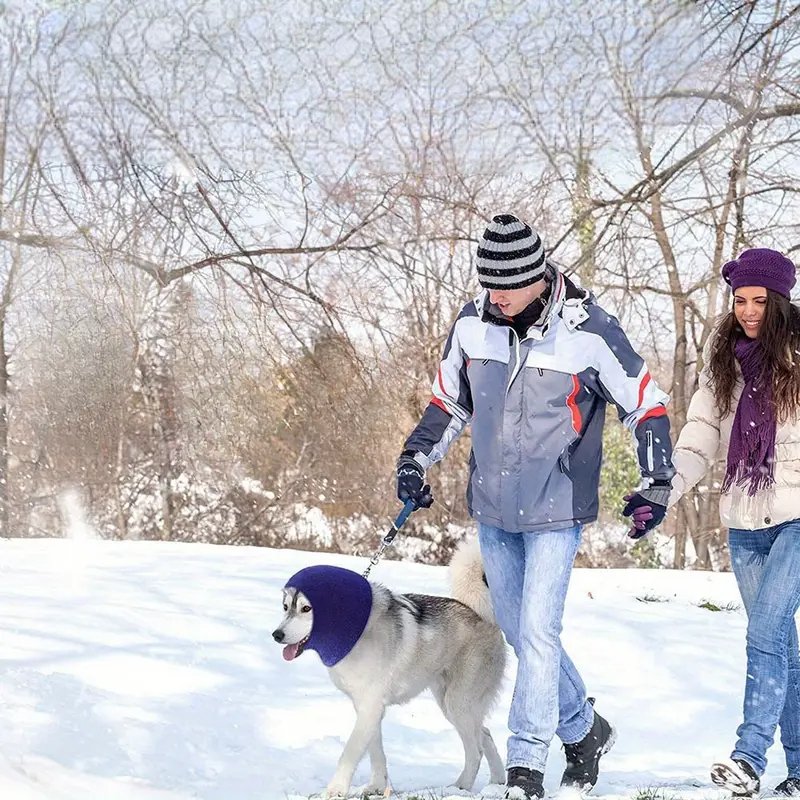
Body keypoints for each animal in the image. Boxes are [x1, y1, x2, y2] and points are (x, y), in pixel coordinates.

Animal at [272, 536, 504, 796]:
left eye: (306, 608)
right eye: (285, 607)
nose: (277, 635)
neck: (356, 631)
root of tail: (481, 614)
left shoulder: (370, 706)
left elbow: (350, 753)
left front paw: (335, 791)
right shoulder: (366, 707)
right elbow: (376, 753)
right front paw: (376, 786)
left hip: (458, 704)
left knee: (476, 750)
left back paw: (459, 788)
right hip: (451, 704)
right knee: (486, 734)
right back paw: (497, 781)